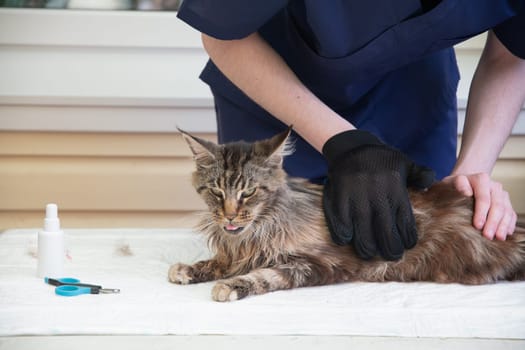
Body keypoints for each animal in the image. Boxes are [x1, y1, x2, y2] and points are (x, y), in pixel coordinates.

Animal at [169, 129, 524, 300]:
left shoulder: (317, 263)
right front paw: (188, 269)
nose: (229, 217)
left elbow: (265, 275)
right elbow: (218, 262)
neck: (255, 233)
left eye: (249, 192)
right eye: (216, 192)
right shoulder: (236, 252)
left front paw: (231, 286)